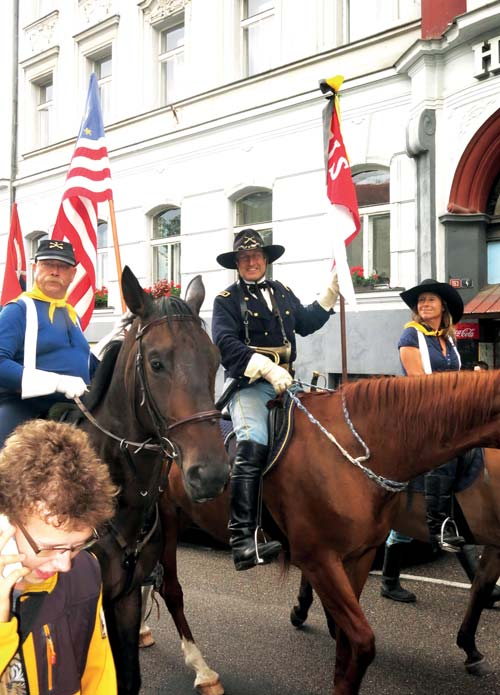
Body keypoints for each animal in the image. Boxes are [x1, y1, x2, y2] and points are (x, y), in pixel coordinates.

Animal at [157, 372, 500, 692]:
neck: (355, 452)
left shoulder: (359, 556)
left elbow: (348, 641)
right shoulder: (319, 559)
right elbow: (362, 641)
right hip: (165, 520)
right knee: (170, 589)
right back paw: (202, 669)